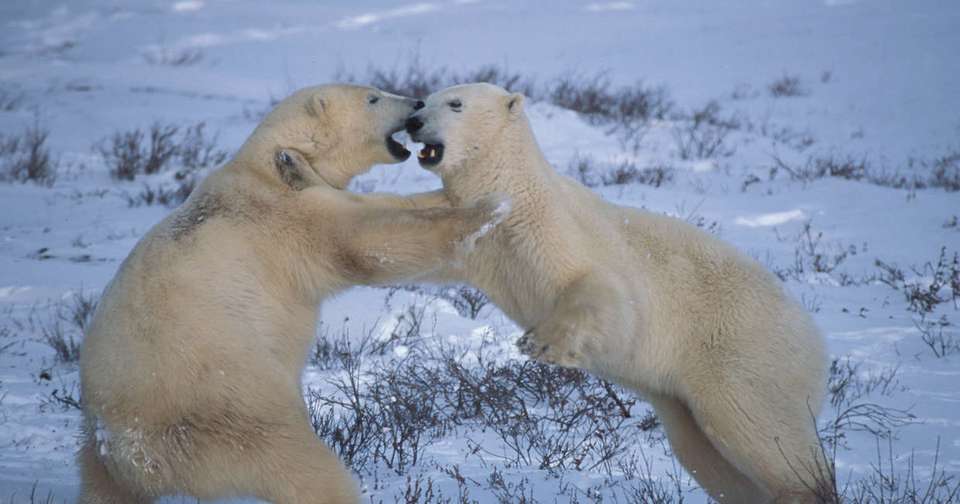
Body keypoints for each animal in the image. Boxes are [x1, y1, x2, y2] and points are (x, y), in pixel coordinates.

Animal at [78, 83, 507, 504]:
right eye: (373, 97)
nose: (416, 102)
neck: (271, 163)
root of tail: (131, 454)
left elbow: (380, 206)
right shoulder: (287, 216)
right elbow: (368, 240)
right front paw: (488, 210)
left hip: (102, 458)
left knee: (102, 490)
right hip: (230, 404)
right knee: (300, 463)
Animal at [405, 82, 830, 504]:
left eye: (455, 103)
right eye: (424, 100)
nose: (413, 121)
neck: (516, 191)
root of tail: (811, 334)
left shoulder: (557, 233)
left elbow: (606, 292)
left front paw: (541, 344)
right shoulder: (480, 241)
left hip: (741, 352)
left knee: (757, 428)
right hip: (687, 396)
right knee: (706, 455)